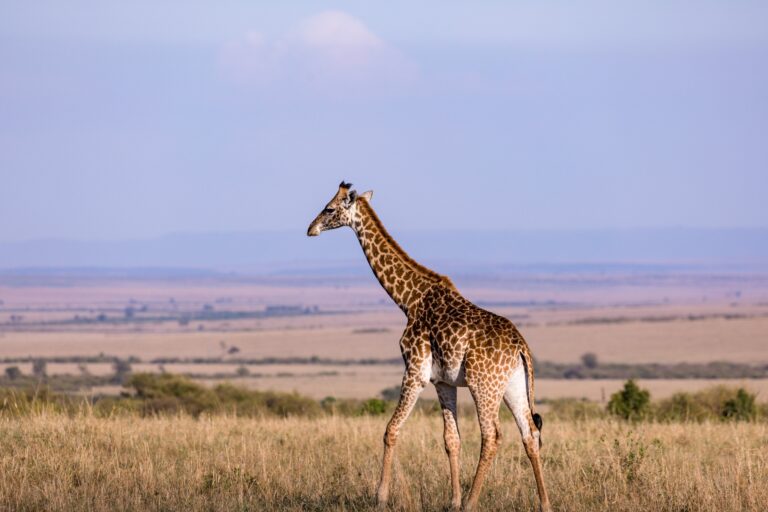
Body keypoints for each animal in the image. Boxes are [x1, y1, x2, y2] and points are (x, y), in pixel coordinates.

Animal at [306, 183, 552, 512]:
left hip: (484, 385)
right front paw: (453, 501)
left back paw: (473, 502)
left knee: (492, 435)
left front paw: (380, 496)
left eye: (330, 208)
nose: (311, 229)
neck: (409, 299)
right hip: (512, 385)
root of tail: (521, 347)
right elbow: (451, 439)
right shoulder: (442, 381)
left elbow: (390, 430)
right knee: (530, 433)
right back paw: (544, 504)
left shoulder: (414, 371)